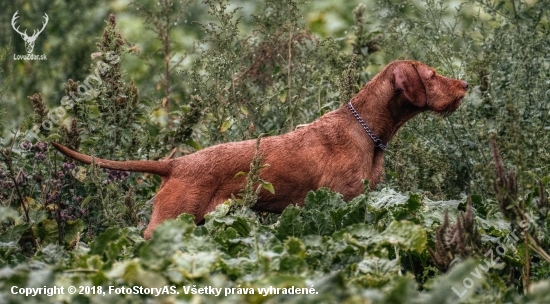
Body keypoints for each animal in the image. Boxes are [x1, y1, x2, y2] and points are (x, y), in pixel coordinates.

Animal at [51, 60, 468, 239]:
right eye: (432, 75)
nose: (465, 84)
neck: (367, 130)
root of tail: (177, 164)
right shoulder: (340, 202)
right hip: (168, 223)